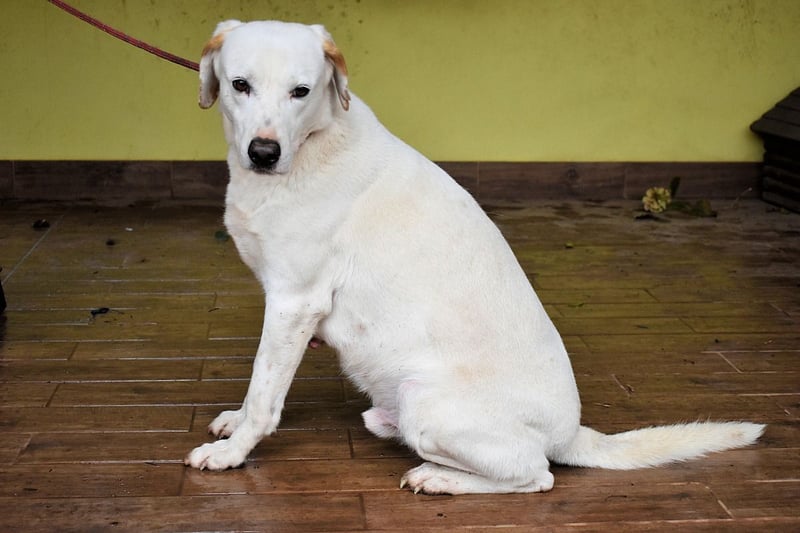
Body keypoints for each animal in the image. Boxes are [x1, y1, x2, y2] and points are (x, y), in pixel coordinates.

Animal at [184, 20, 764, 494]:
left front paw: (232, 453)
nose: (264, 154)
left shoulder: (294, 302)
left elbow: (265, 395)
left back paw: (438, 478)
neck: (311, 145)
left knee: (537, 475)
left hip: (425, 401)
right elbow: (258, 387)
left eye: (301, 92)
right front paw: (233, 424)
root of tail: (572, 433)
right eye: (240, 85)